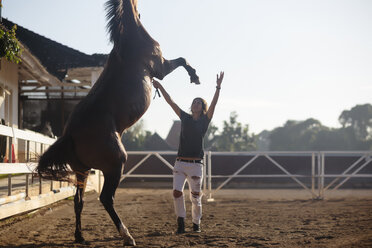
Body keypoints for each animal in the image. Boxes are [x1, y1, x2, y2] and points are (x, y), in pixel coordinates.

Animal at [37, 0, 201, 246]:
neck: (131, 37)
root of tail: (69, 134)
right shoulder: (161, 67)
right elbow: (182, 59)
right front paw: (195, 76)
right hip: (115, 164)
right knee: (106, 198)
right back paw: (127, 236)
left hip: (82, 171)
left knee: (78, 201)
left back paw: (80, 236)